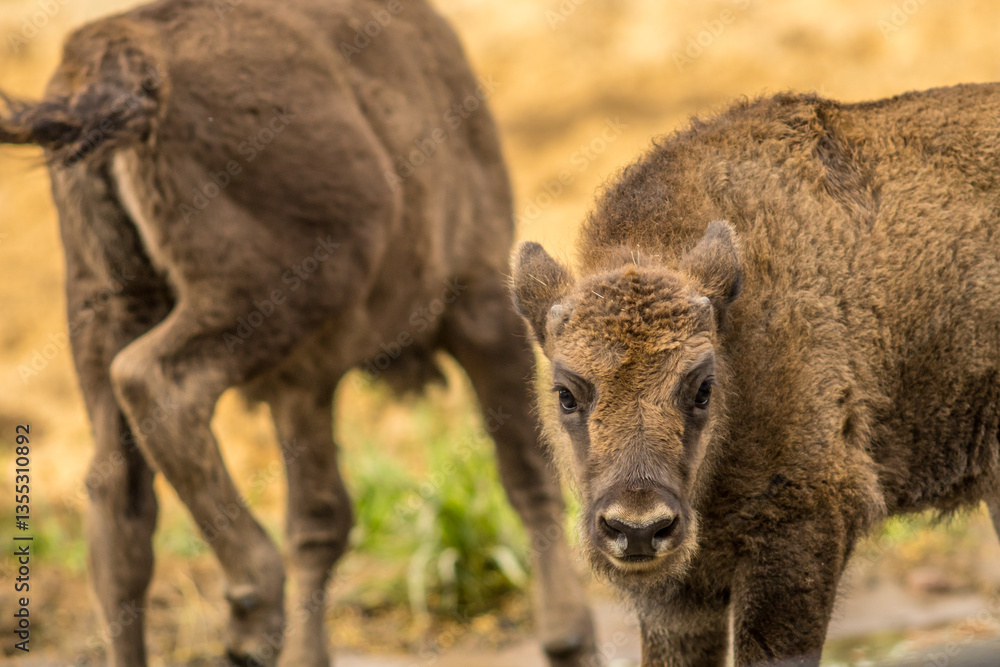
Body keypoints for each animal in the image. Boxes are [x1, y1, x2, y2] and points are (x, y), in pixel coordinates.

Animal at [0, 0, 594, 664]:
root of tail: (121, 54)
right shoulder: (480, 300)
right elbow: (527, 468)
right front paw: (571, 637)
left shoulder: (303, 383)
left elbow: (318, 519)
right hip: (271, 296)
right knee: (156, 382)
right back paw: (255, 603)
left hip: (103, 311)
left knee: (117, 505)